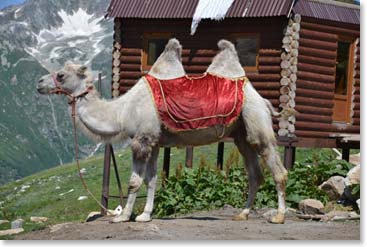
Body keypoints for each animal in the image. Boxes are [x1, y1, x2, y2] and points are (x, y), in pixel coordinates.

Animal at [38, 38, 290, 224]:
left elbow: (134, 181)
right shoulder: (155, 141)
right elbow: (152, 180)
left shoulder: (142, 139)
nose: (39, 83)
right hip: (240, 133)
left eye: (61, 75)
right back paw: (242, 214)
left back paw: (278, 216)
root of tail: (261, 98)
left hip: (256, 120)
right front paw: (144, 215)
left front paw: (122, 217)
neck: (123, 112)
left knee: (277, 169)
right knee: (255, 173)